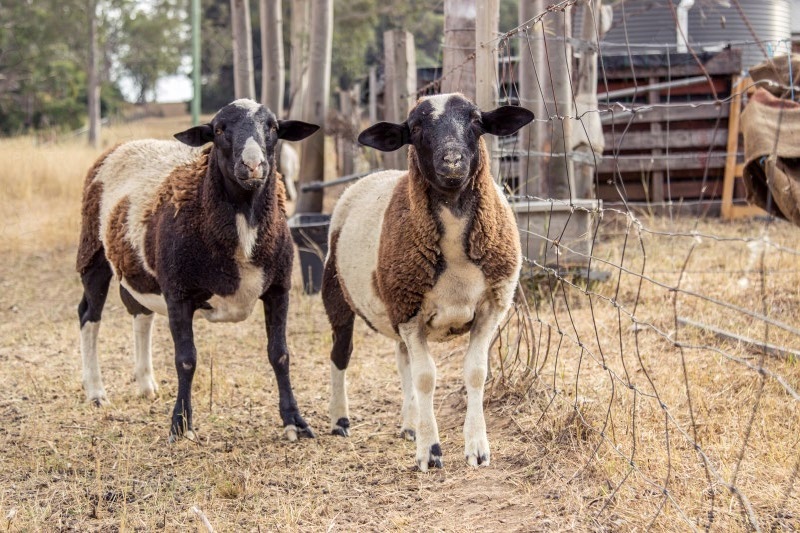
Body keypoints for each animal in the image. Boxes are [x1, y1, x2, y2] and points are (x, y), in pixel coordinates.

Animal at [76, 98, 318, 440]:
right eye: (218, 130)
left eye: (272, 126)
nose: (253, 165)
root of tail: (122, 145)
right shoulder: (179, 294)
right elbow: (186, 360)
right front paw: (180, 424)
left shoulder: (278, 289)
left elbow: (280, 355)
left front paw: (295, 421)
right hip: (93, 252)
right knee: (89, 316)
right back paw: (96, 392)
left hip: (137, 268)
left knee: (140, 313)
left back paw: (146, 384)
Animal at [322, 92, 536, 470]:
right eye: (416, 127)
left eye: (476, 121)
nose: (451, 162)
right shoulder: (410, 312)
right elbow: (426, 378)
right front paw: (430, 452)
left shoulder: (489, 308)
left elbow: (474, 372)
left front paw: (477, 449)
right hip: (339, 296)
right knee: (341, 355)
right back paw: (340, 420)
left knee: (402, 360)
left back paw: (409, 425)